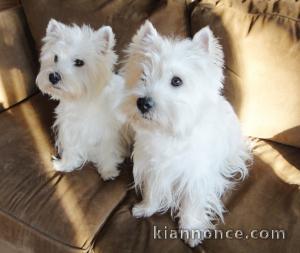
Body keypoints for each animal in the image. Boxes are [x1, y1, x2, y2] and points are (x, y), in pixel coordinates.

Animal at [36, 19, 127, 180]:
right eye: (55, 58)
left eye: (79, 62)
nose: (53, 76)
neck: (81, 101)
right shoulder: (69, 128)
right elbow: (70, 148)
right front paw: (65, 165)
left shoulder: (108, 132)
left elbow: (107, 151)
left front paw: (108, 171)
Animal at [121, 21, 251, 247]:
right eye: (143, 75)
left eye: (177, 81)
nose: (143, 103)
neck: (169, 133)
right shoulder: (153, 167)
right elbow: (152, 190)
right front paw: (146, 208)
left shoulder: (195, 177)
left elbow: (191, 204)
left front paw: (191, 230)